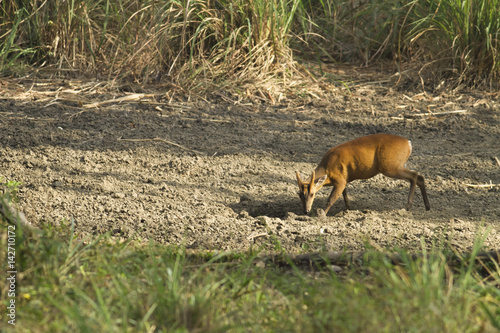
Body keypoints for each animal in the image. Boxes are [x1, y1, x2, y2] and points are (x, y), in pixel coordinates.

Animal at [296, 133, 430, 214]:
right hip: (399, 165)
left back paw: (408, 207)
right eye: (299, 194)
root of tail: (409, 144)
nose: (306, 211)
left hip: (391, 166)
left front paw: (322, 214)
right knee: (420, 177)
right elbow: (344, 195)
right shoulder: (344, 179)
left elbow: (331, 198)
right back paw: (427, 206)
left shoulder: (340, 180)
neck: (327, 169)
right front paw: (348, 208)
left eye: (312, 194)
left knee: (414, 175)